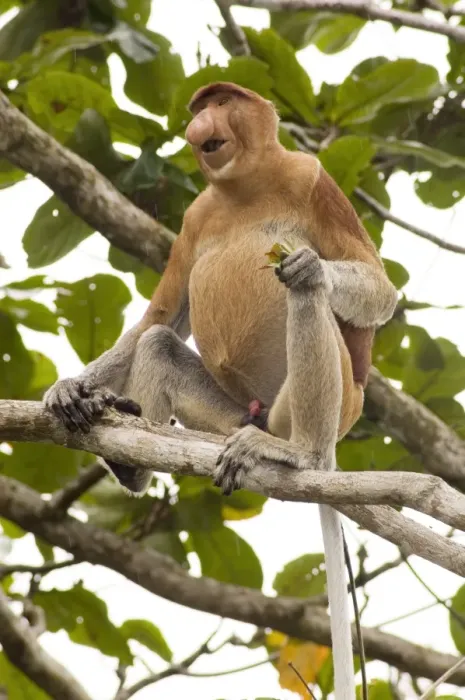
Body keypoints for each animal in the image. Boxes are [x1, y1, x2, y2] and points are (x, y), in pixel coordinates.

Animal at [44, 82, 397, 699]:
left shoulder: (311, 177)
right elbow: (162, 315)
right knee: (159, 342)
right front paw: (68, 389)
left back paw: (298, 452)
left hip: (335, 405)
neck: (244, 188)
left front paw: (311, 267)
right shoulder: (194, 218)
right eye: (200, 105)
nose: (200, 124)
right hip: (234, 414)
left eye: (223, 101)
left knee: (305, 300)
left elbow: (378, 288)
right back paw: (129, 457)